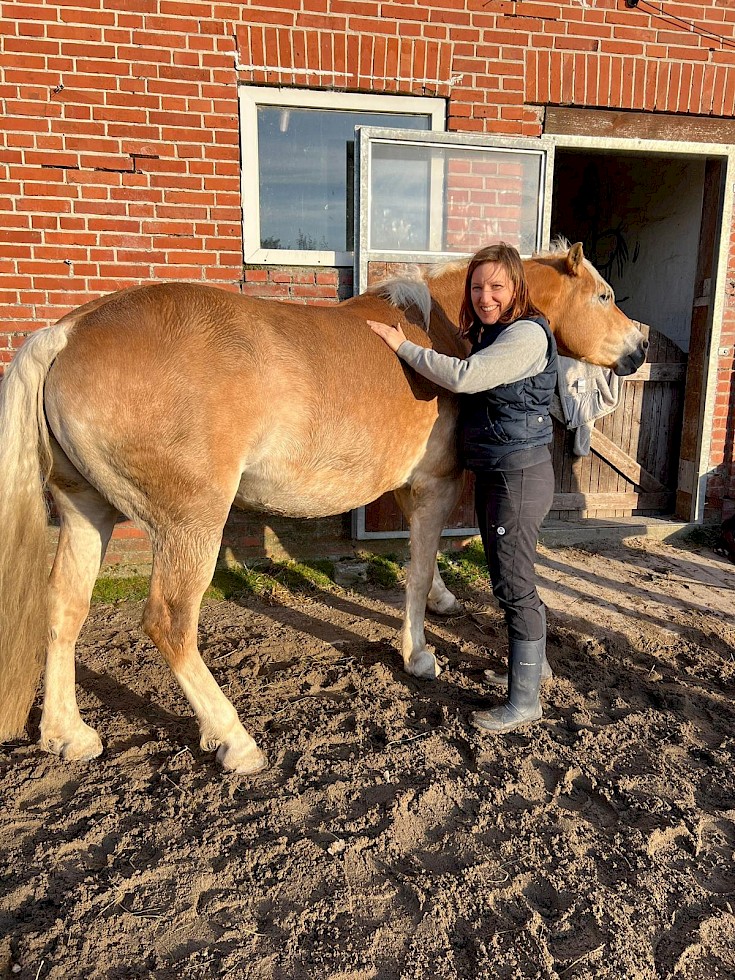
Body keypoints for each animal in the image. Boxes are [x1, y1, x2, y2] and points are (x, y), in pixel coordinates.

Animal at [0, 242, 647, 774]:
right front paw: (418, 654)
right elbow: (415, 568)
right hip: (191, 524)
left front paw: (443, 601)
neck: (441, 332)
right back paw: (234, 739)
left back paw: (68, 735)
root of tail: (69, 332)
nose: (640, 348)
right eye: (605, 295)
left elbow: (418, 556)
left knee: (64, 607)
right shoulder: (434, 485)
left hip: (85, 511)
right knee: (170, 622)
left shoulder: (410, 487)